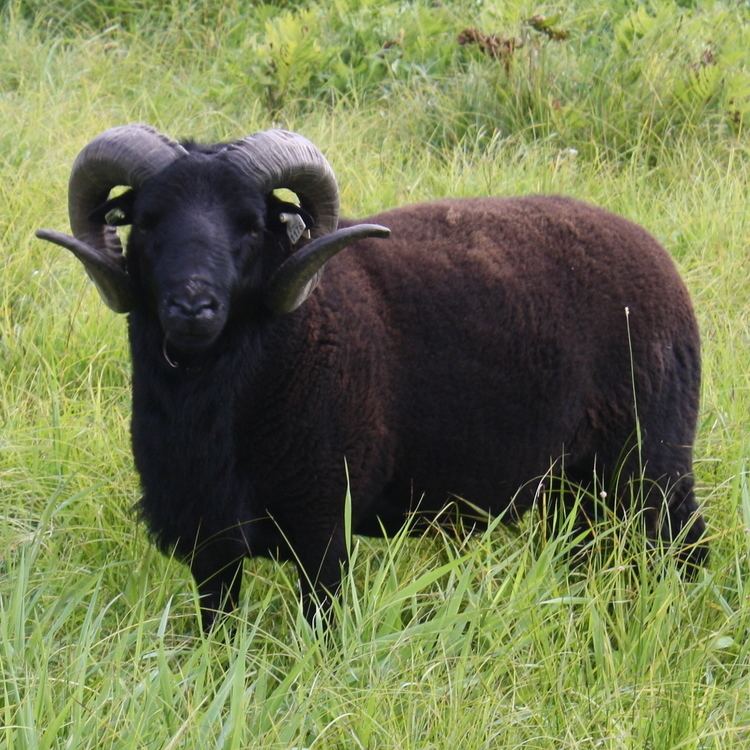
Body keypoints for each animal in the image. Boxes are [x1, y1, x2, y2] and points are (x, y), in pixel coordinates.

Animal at [38, 126, 708, 632]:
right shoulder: (211, 540)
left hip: (651, 466)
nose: (192, 307)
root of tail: (659, 259)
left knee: (688, 550)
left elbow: (321, 628)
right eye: (147, 220)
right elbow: (217, 631)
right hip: (576, 490)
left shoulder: (323, 526)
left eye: (250, 224)